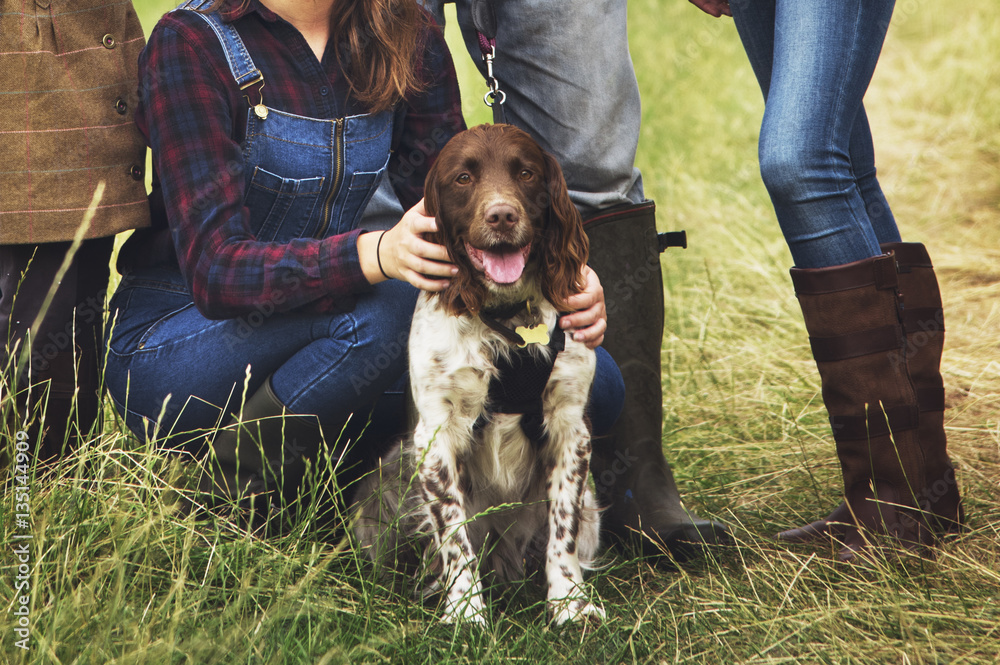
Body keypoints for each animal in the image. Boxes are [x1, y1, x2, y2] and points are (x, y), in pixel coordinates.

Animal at [356, 123, 604, 624]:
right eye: (463, 178)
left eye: (526, 173)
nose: (502, 215)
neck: (506, 316)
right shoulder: (436, 434)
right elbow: (454, 533)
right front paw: (466, 610)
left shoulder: (571, 426)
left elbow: (562, 528)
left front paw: (568, 603)